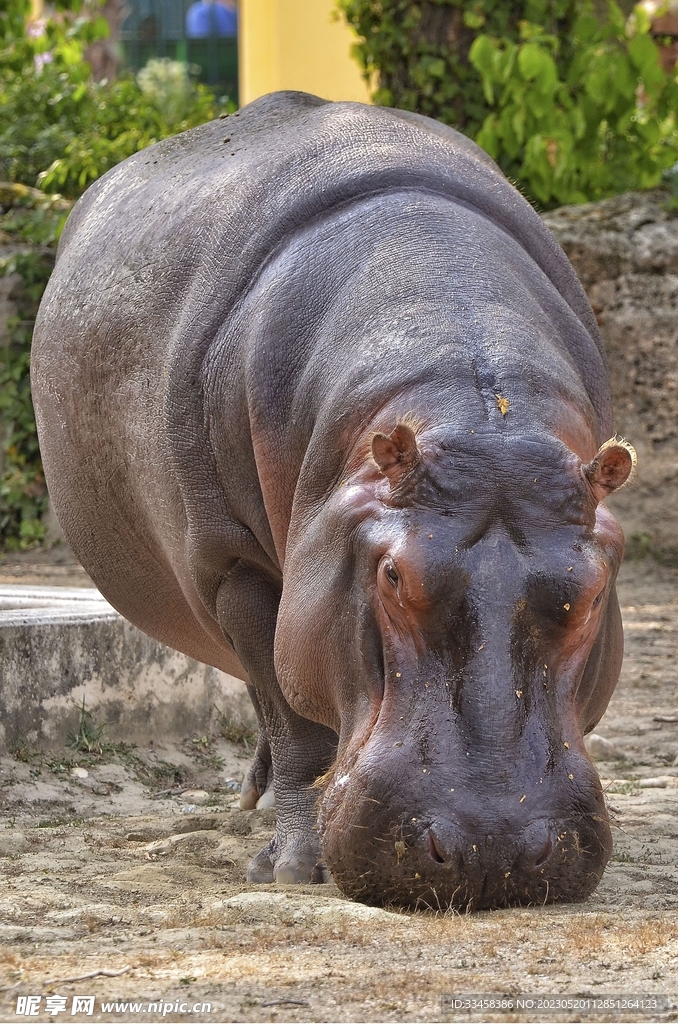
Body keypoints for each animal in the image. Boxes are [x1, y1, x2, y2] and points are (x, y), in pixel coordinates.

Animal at [31, 90, 639, 913]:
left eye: (593, 590)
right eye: (392, 576)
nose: (490, 849)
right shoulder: (235, 566)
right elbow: (294, 719)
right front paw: (294, 868)